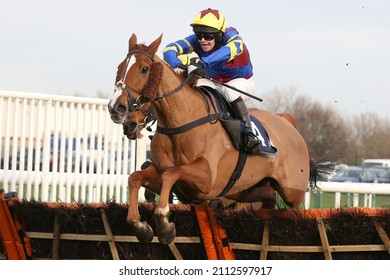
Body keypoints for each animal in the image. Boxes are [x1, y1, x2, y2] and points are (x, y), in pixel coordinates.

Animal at [106, 32, 326, 243]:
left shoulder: (207, 180)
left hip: (292, 192)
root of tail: (288, 122)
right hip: (246, 188)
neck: (180, 122)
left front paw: (164, 224)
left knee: (293, 208)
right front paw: (141, 227)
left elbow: (172, 173)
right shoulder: (165, 175)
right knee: (268, 199)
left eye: (144, 69)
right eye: (119, 67)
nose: (116, 108)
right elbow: (136, 177)